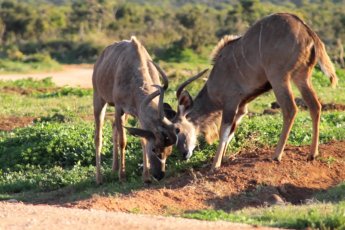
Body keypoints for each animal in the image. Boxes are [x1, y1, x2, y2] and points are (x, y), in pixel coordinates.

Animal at [92, 36, 176, 184]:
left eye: (169, 151)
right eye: (154, 149)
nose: (159, 175)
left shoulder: (137, 113)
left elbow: (142, 140)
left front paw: (146, 176)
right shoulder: (119, 108)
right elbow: (123, 141)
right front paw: (122, 176)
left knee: (114, 128)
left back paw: (114, 169)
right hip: (99, 100)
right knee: (98, 137)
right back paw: (99, 178)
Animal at [172, 13, 336, 171]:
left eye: (177, 129)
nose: (184, 154)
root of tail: (307, 32)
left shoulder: (231, 102)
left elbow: (224, 132)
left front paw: (215, 165)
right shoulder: (242, 107)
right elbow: (231, 132)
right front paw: (223, 159)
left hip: (279, 78)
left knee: (290, 109)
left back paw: (276, 155)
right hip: (302, 76)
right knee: (315, 105)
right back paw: (312, 154)